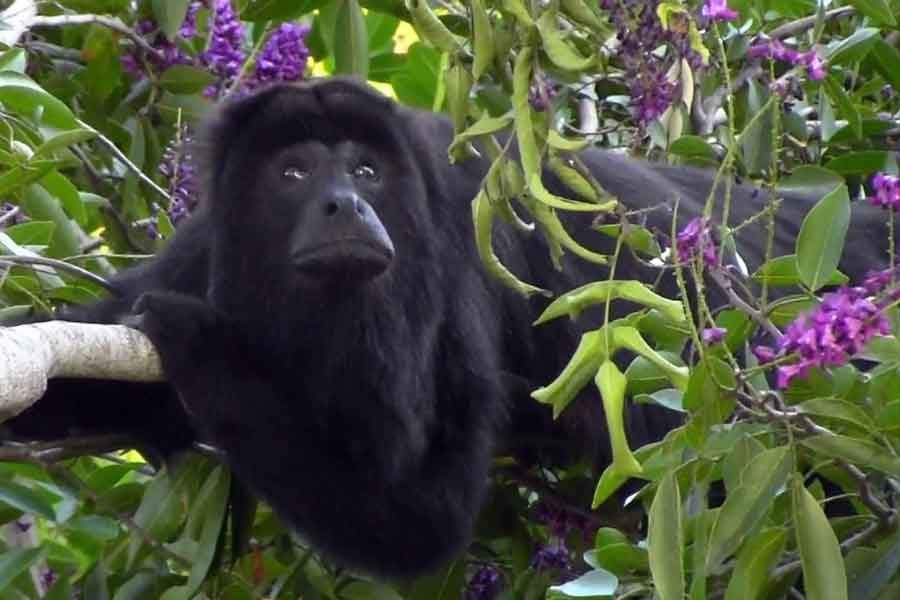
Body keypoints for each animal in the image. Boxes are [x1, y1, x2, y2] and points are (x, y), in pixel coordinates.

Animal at [1, 76, 892, 576]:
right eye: (294, 173)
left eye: (365, 170)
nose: (346, 204)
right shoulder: (204, 248)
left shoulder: (449, 266)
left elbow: (417, 521)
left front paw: (197, 339)